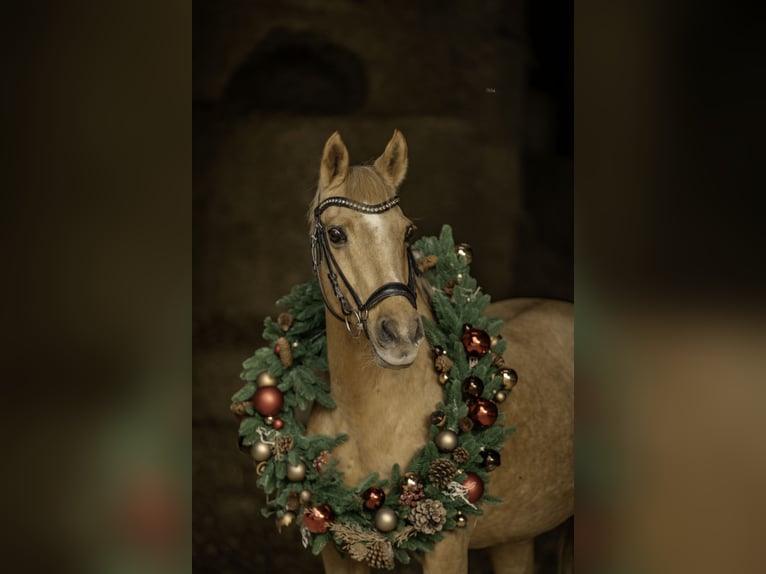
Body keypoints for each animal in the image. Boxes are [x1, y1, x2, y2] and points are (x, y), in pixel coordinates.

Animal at [308, 132, 572, 574]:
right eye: (336, 234)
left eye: (407, 232)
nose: (400, 334)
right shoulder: (337, 550)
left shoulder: (446, 550)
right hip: (516, 538)